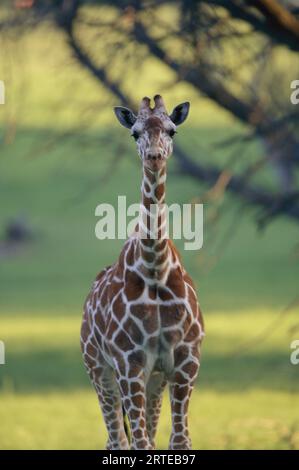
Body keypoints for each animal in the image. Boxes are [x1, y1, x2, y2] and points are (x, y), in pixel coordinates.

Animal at [81, 93, 205, 450]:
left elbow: (178, 441)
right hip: (99, 370)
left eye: (172, 130)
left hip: (155, 380)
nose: (154, 156)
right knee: (117, 440)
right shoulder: (129, 364)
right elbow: (139, 443)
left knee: (142, 432)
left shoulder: (185, 363)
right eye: (135, 132)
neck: (155, 268)